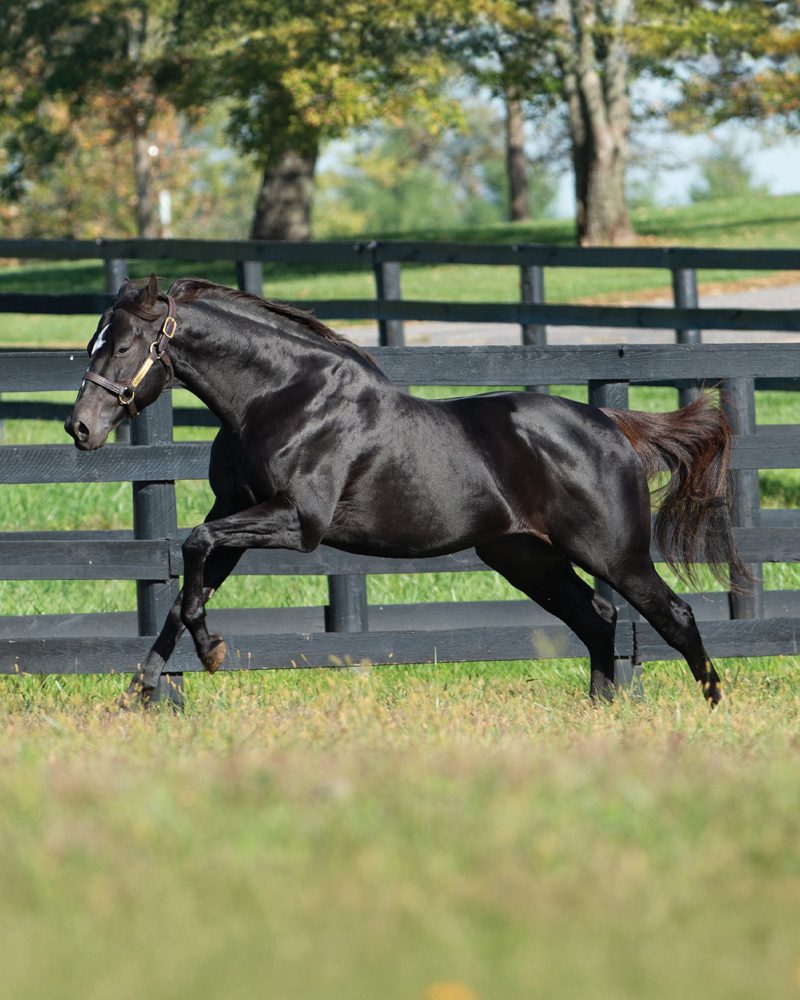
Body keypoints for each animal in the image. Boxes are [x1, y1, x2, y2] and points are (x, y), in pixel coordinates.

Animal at [65, 276, 748, 704]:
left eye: (121, 345)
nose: (80, 427)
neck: (282, 397)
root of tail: (612, 425)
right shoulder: (236, 513)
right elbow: (187, 587)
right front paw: (142, 693)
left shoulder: (299, 522)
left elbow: (193, 550)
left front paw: (208, 657)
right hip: (527, 558)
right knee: (598, 619)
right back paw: (602, 714)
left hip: (614, 554)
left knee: (673, 615)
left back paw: (715, 706)